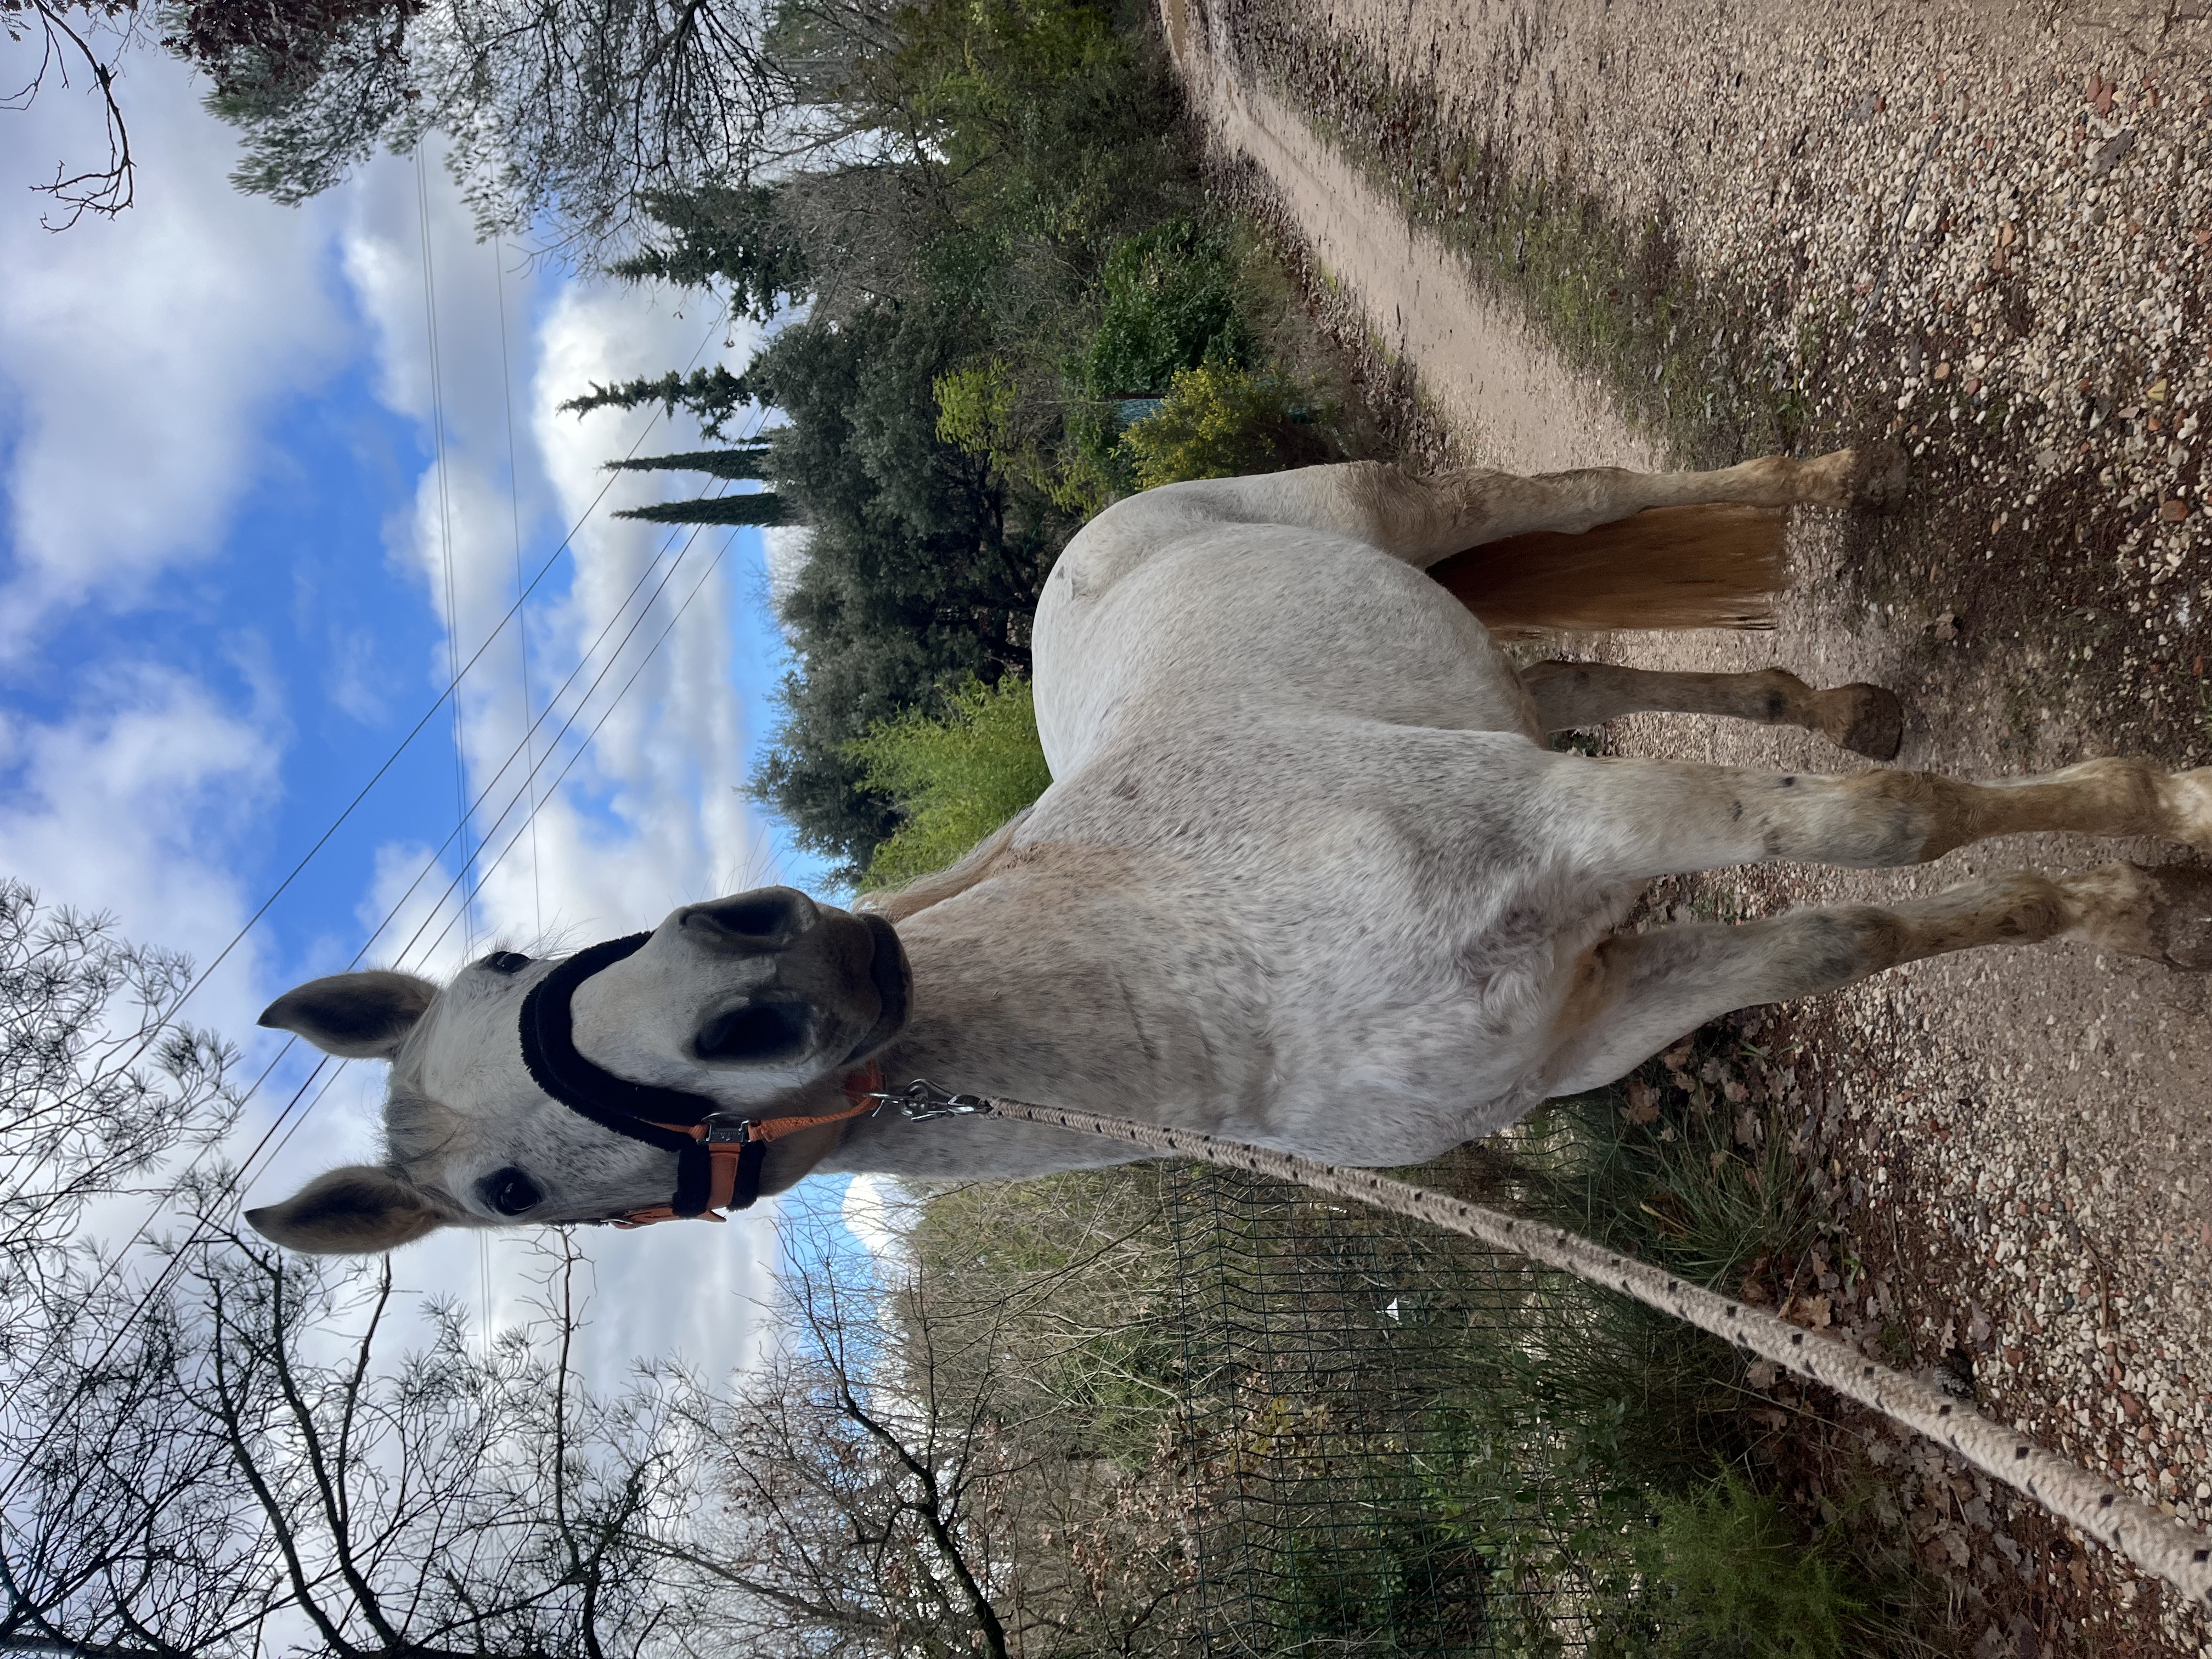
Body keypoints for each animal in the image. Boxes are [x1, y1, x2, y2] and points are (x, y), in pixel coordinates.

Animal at [248, 448, 2212, 1252]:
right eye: (509, 1199)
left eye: (511, 958)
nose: (782, 964)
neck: (1210, 983)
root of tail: (1086, 540)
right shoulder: (1601, 1006)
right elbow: (1851, 933)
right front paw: (2124, 909)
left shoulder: (1576, 819)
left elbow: (1893, 836)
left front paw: (2172, 819)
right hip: (1497, 669)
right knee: (1598, 667)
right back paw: (1847, 694)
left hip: (1418, 512)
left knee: (1605, 499)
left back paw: (1827, 478)